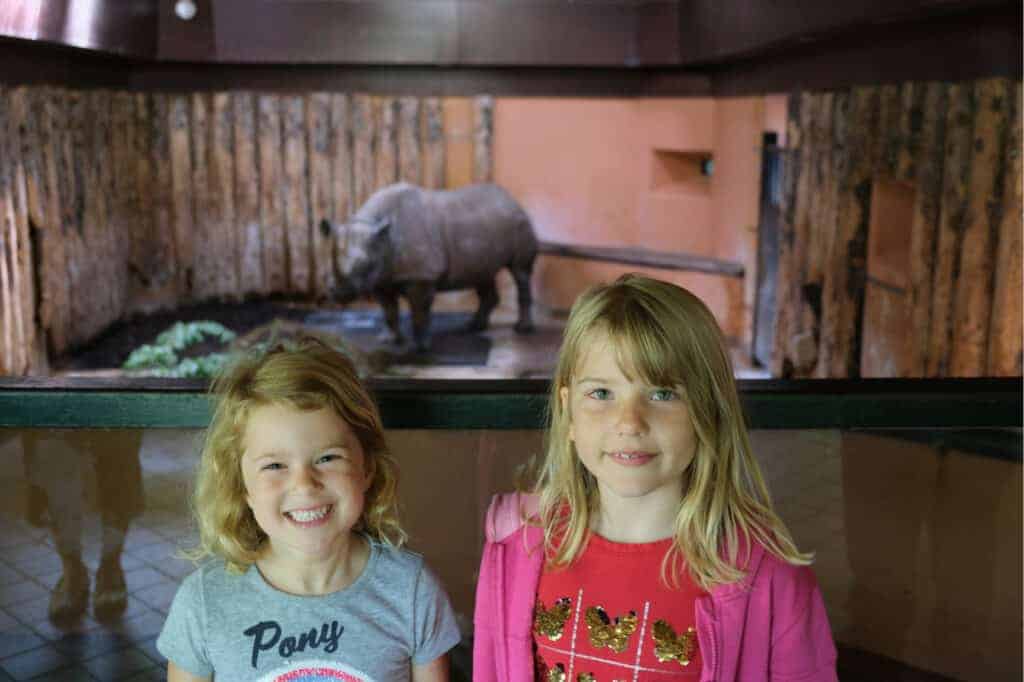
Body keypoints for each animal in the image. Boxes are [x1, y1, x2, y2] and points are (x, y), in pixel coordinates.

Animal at [321, 180, 540, 350]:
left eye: (365, 264)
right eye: (328, 264)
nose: (339, 293)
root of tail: (511, 199)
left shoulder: (422, 275)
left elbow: (419, 311)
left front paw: (420, 347)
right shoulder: (381, 278)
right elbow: (388, 310)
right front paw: (389, 340)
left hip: (520, 223)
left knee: (520, 273)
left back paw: (522, 329)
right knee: (482, 275)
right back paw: (472, 326)